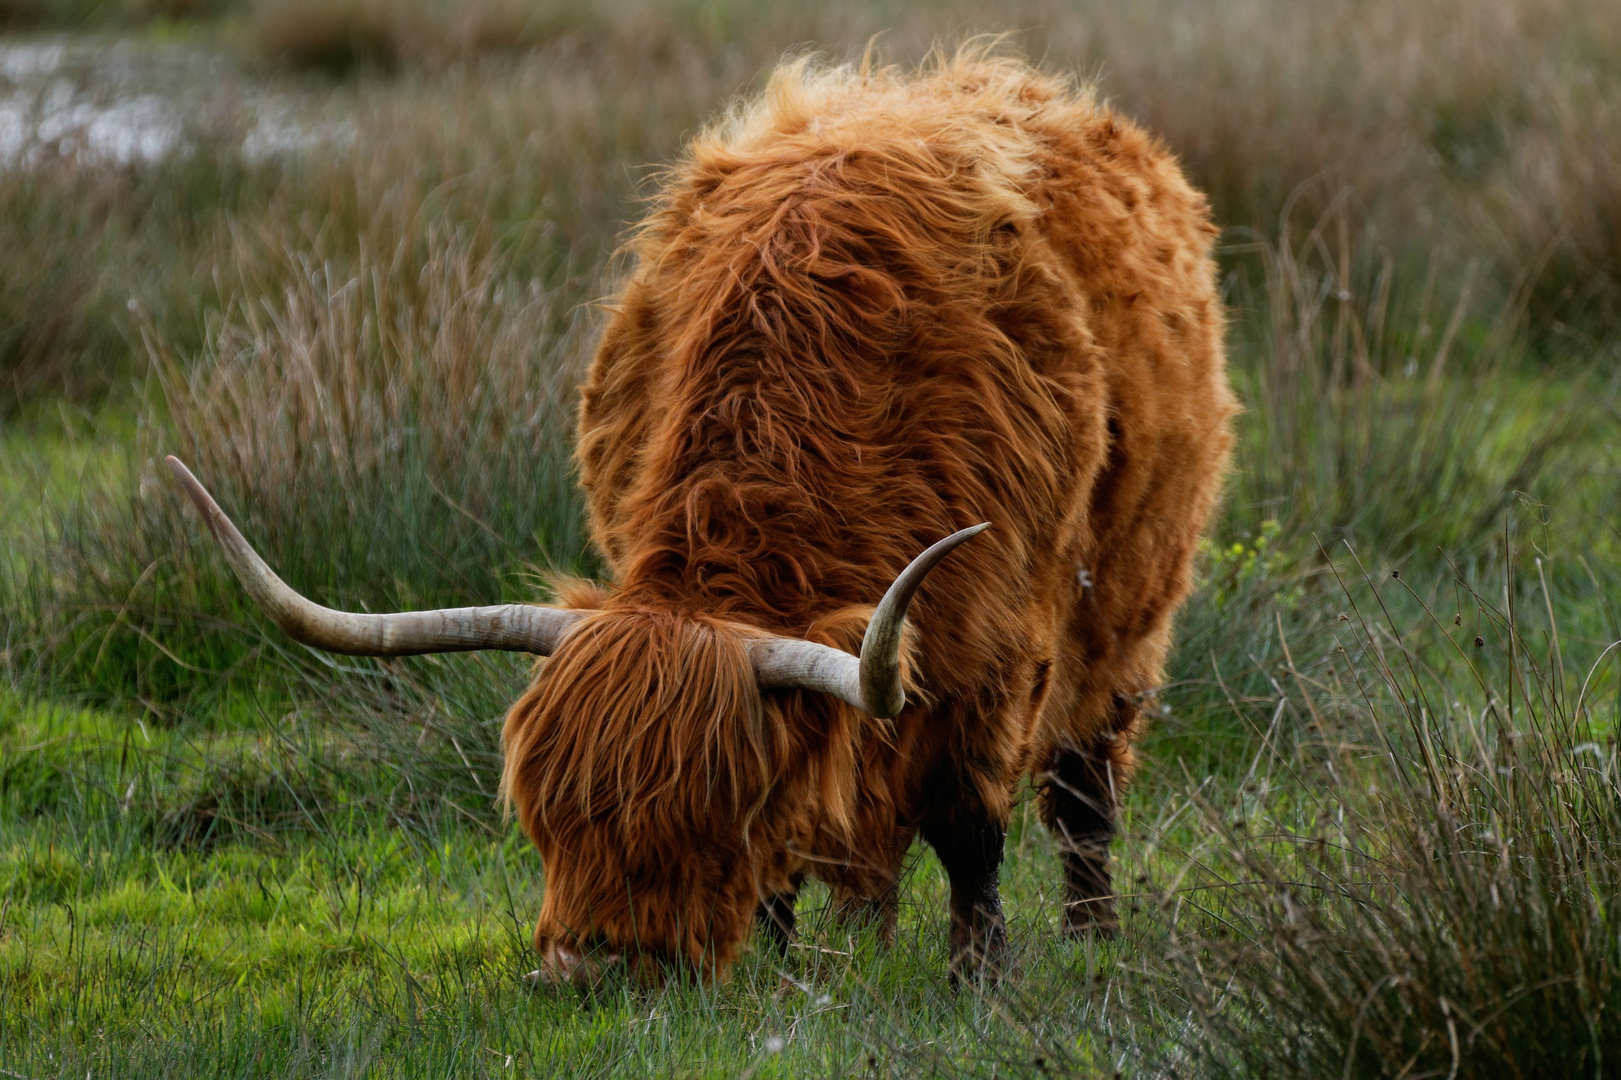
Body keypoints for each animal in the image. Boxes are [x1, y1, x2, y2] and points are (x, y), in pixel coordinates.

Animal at [171, 50, 1231, 979]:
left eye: (709, 806)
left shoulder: (996, 648)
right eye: (545, 812)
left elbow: (966, 824)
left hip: (1128, 613)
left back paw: (1091, 938)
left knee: (1082, 788)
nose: (589, 967)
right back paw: (863, 940)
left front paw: (979, 975)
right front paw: (782, 958)